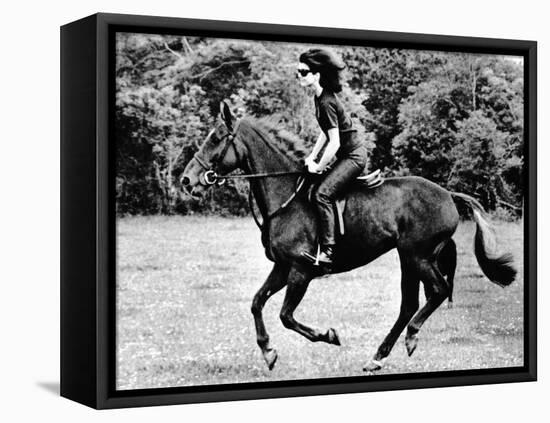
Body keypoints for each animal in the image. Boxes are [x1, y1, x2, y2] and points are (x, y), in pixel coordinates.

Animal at [180, 101, 516, 372]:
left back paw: (410, 336)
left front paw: (328, 336)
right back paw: (378, 357)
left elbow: (286, 316)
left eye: (216, 138)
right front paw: (268, 351)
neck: (286, 198)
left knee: (438, 290)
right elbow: (256, 302)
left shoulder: (301, 270)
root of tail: (448, 194)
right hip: (409, 258)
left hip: (417, 256)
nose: (186, 180)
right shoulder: (282, 267)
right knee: (409, 303)